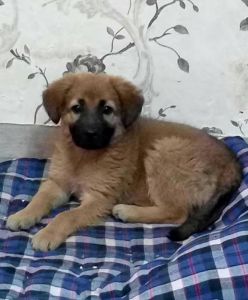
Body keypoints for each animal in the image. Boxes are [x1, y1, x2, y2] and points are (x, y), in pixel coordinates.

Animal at [6, 72, 242, 251]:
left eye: (107, 110)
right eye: (77, 108)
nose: (90, 133)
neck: (84, 156)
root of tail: (232, 162)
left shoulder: (99, 199)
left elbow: (67, 215)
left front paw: (48, 234)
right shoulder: (58, 184)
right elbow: (39, 199)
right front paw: (23, 215)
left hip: (165, 151)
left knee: (177, 212)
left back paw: (128, 211)